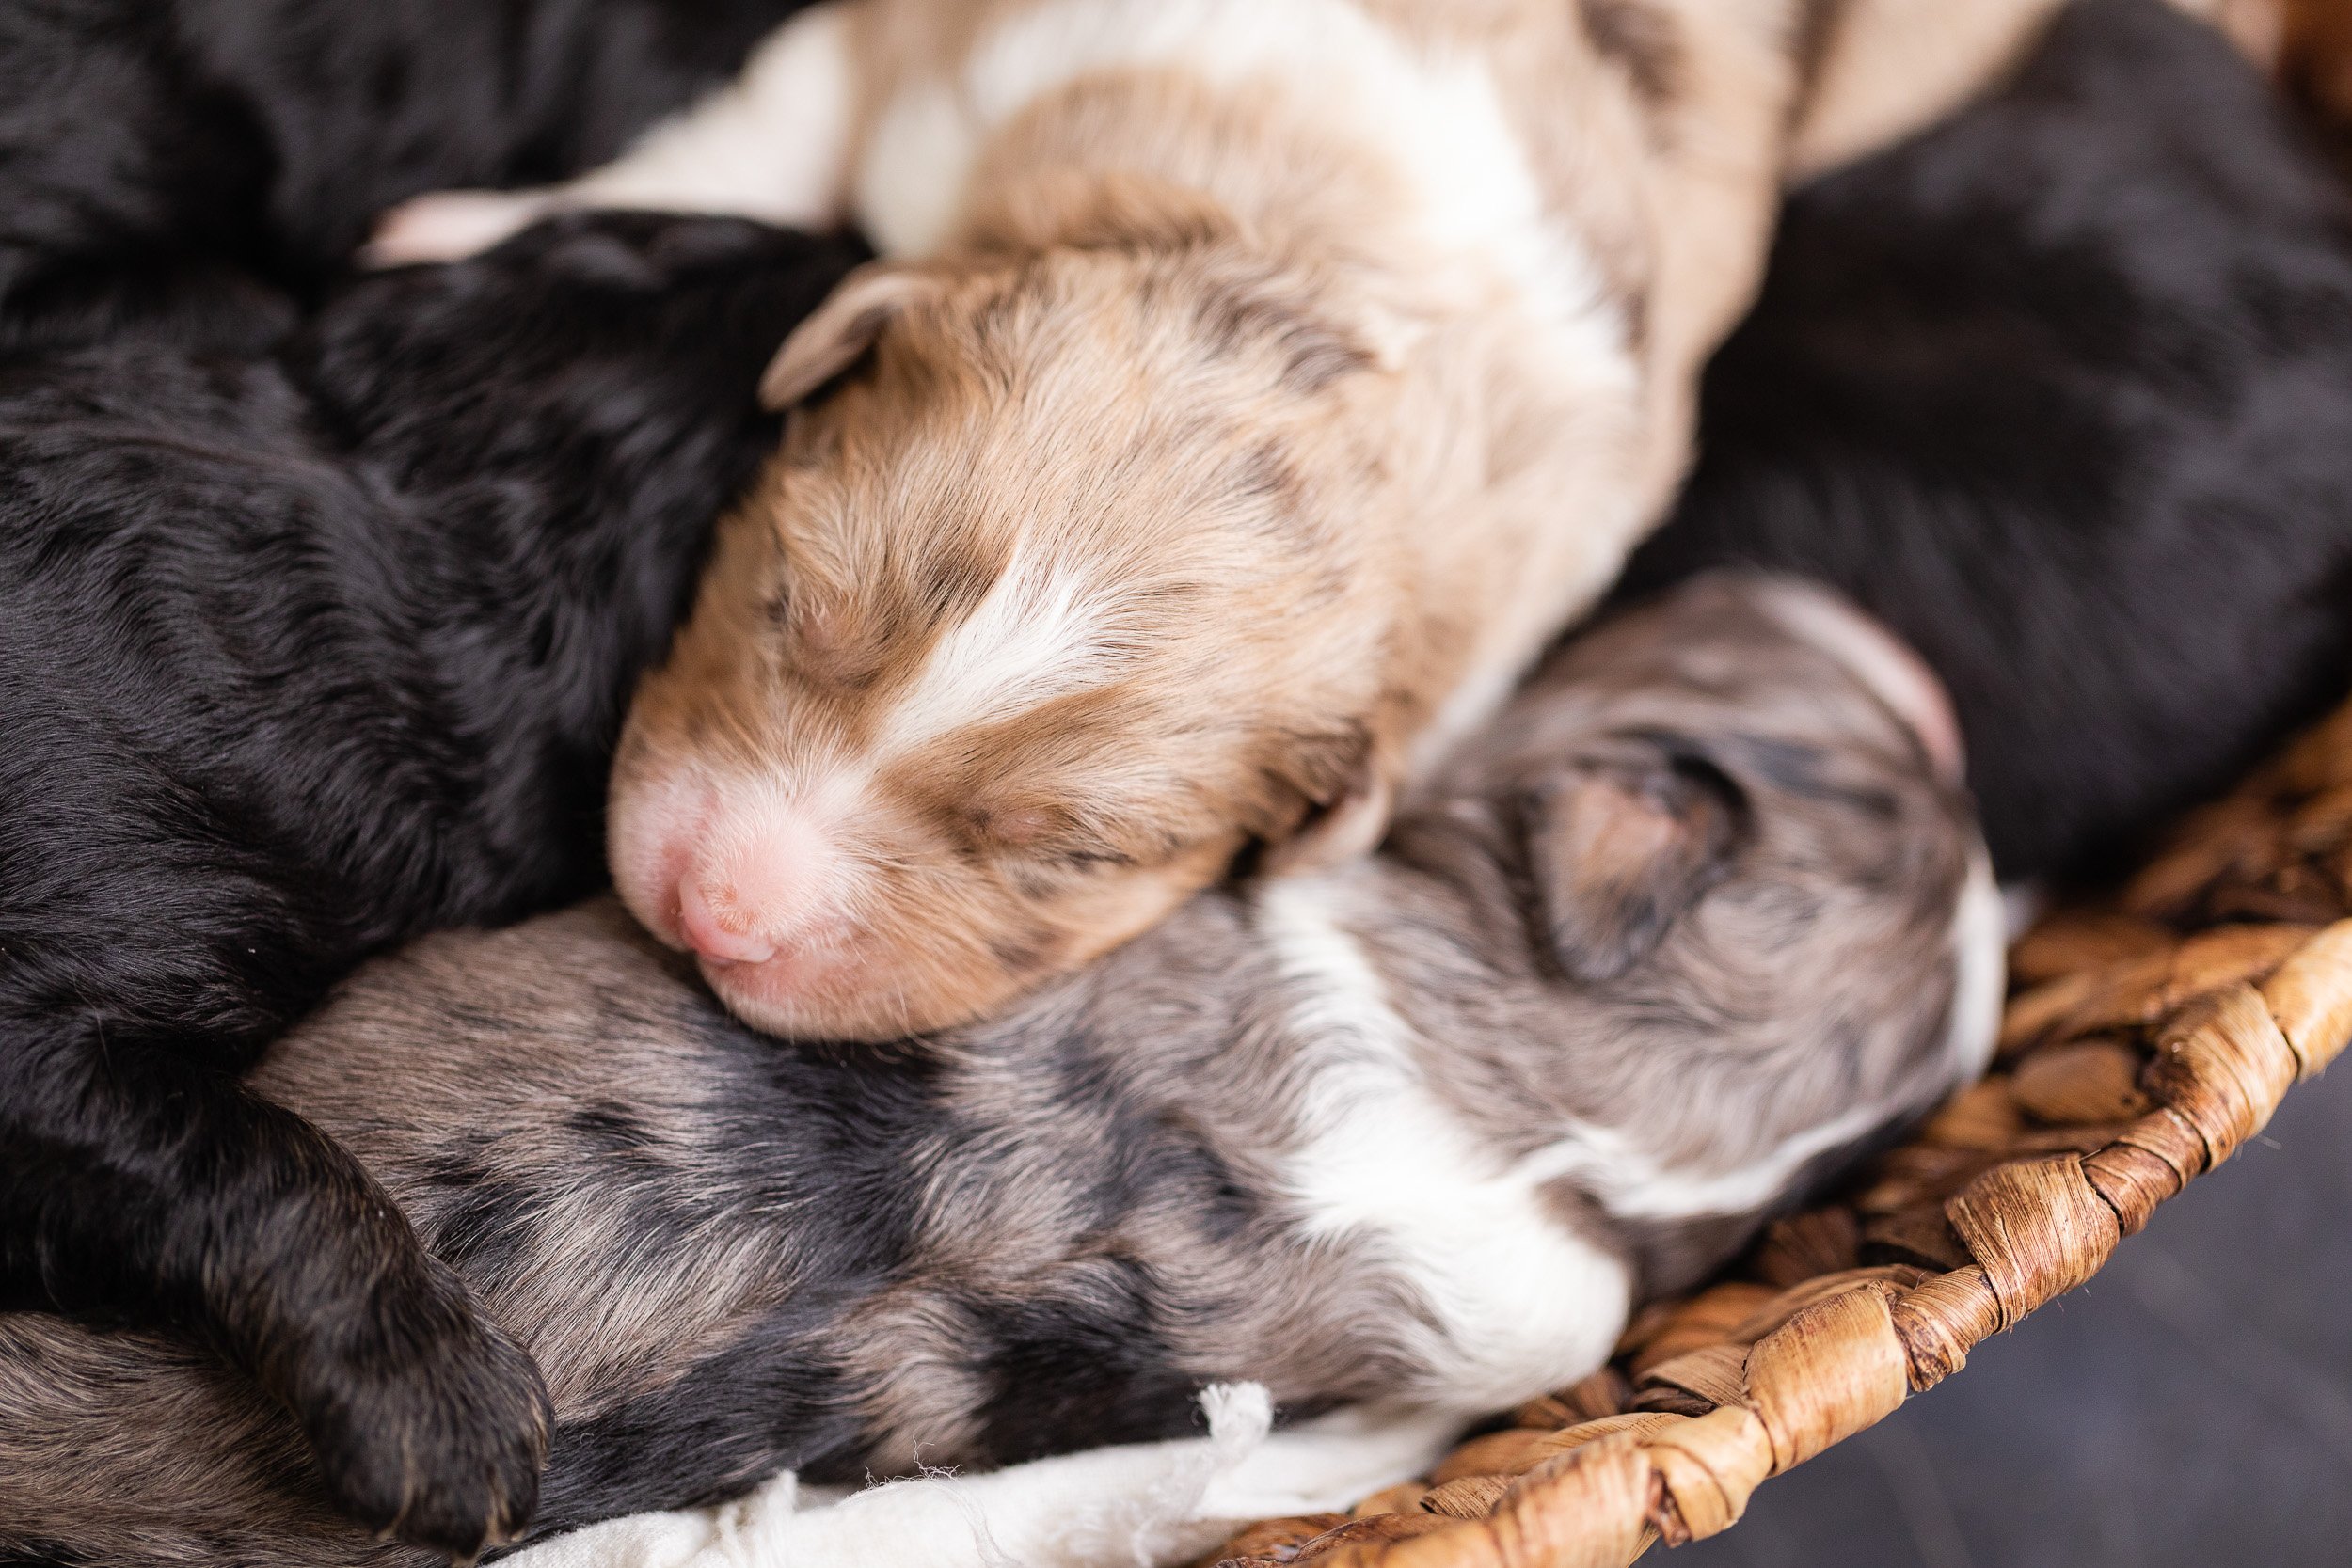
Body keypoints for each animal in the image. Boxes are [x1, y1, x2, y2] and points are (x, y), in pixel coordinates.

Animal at [372, 0, 2239, 1043]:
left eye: (1075, 855)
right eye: (784, 599)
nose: (715, 905)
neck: (1305, 257)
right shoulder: (941, 56)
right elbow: (759, 126)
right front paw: (463, 231)